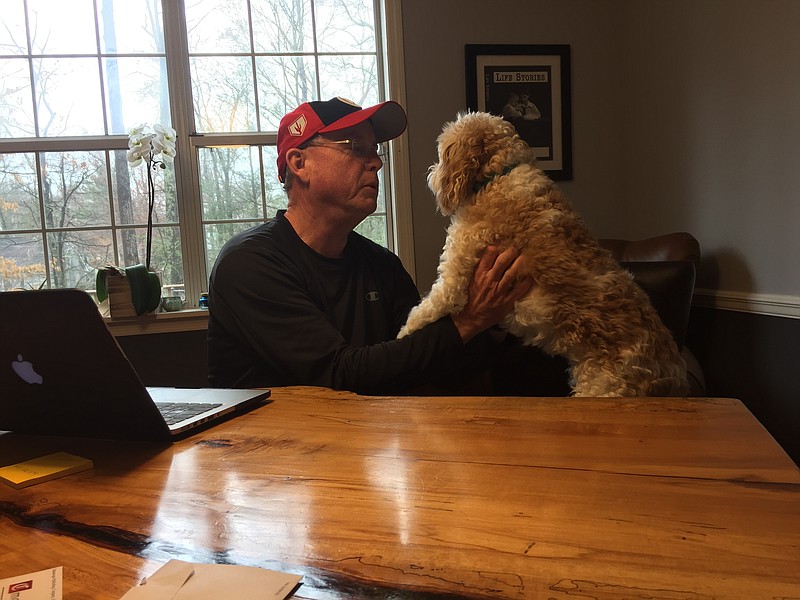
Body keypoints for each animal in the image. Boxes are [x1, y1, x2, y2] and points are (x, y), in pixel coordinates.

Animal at [400, 111, 688, 398]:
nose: (431, 174)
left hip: (603, 388)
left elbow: (425, 309)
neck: (500, 175)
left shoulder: (455, 274)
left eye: (441, 152)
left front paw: (403, 333)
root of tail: (671, 373)